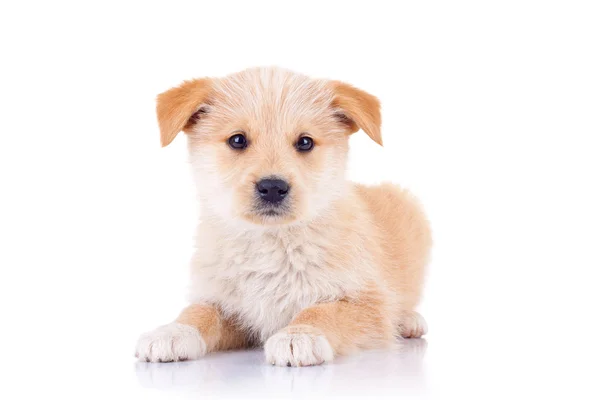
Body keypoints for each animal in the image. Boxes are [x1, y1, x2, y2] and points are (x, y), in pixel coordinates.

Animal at [135, 67, 432, 368]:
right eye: (237, 140)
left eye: (305, 142)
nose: (272, 187)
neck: (271, 241)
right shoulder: (230, 306)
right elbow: (199, 310)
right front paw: (174, 331)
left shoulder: (368, 303)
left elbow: (324, 311)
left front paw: (299, 335)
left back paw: (409, 320)